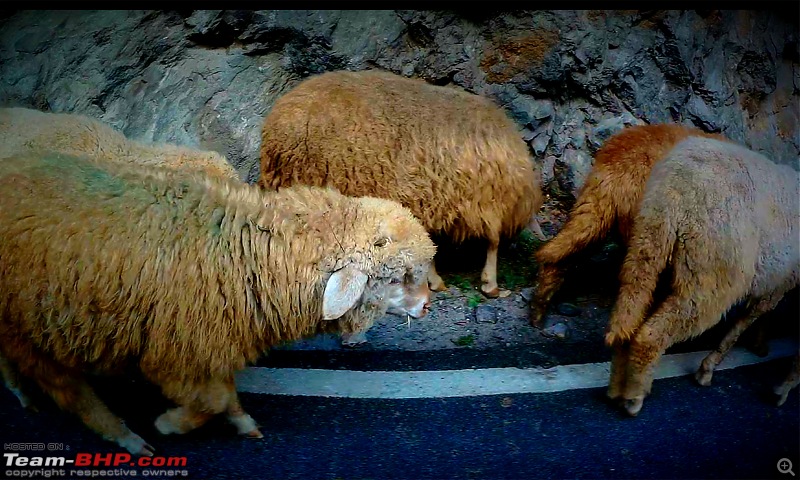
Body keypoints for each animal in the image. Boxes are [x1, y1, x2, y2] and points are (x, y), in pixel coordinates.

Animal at [0, 149, 438, 454]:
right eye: (397, 277)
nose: (427, 306)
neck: (253, 252)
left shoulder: (212, 341)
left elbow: (224, 393)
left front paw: (242, 422)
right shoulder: (178, 350)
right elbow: (209, 399)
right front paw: (170, 424)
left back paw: (22, 393)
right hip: (28, 324)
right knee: (69, 390)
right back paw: (125, 436)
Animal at [604, 136, 796, 416]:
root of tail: (677, 185)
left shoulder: (775, 280)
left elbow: (758, 316)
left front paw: (760, 346)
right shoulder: (781, 281)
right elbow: (747, 320)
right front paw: (710, 368)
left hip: (650, 244)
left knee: (628, 317)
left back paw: (618, 388)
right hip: (710, 274)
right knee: (653, 333)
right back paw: (633, 398)